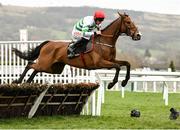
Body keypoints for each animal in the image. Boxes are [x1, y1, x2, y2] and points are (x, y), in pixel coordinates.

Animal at [13, 12, 142, 89]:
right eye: (128, 22)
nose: (138, 35)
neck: (105, 41)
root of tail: (48, 43)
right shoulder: (100, 63)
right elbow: (118, 67)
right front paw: (111, 84)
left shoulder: (111, 60)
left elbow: (127, 64)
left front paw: (124, 82)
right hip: (46, 64)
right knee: (30, 64)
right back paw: (18, 81)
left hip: (53, 68)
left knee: (36, 68)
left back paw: (27, 81)